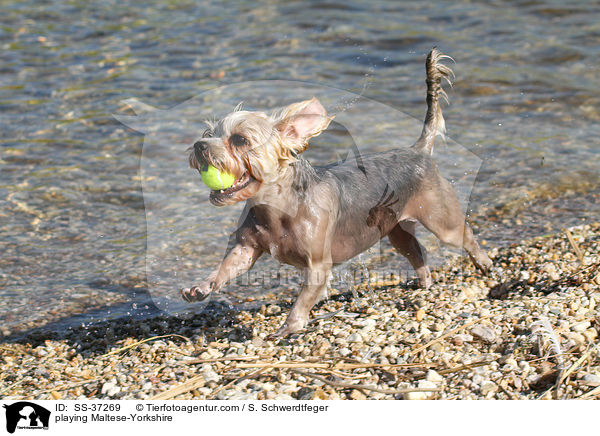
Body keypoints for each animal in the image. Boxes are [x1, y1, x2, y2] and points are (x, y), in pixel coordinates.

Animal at [183, 49, 492, 338]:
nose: (199, 145)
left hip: (441, 219)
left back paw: (484, 263)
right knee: (418, 252)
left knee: (464, 234)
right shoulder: (245, 248)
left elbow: (301, 302)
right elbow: (226, 267)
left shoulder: (319, 265)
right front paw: (201, 287)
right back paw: (425, 284)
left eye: (240, 140)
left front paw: (289, 327)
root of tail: (420, 150)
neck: (276, 205)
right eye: (208, 133)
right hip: (395, 230)